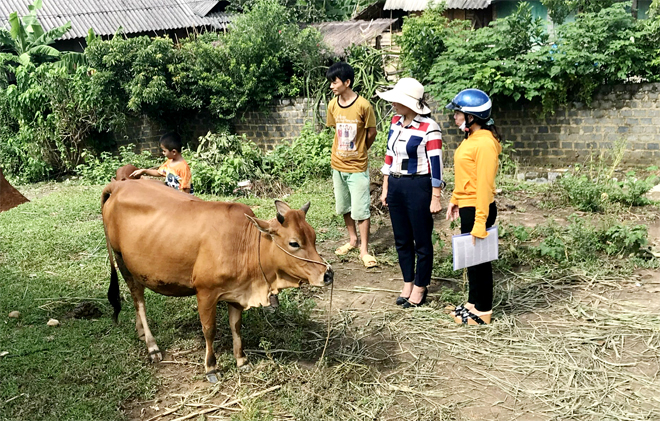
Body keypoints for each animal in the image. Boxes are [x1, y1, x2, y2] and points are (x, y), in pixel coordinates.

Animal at [100, 179, 332, 382]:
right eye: (294, 243)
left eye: (313, 236)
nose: (328, 274)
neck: (245, 244)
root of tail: (118, 185)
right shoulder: (205, 292)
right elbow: (209, 330)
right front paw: (211, 367)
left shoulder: (237, 293)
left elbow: (236, 326)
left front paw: (241, 360)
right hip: (122, 261)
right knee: (138, 300)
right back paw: (152, 346)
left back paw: (140, 332)